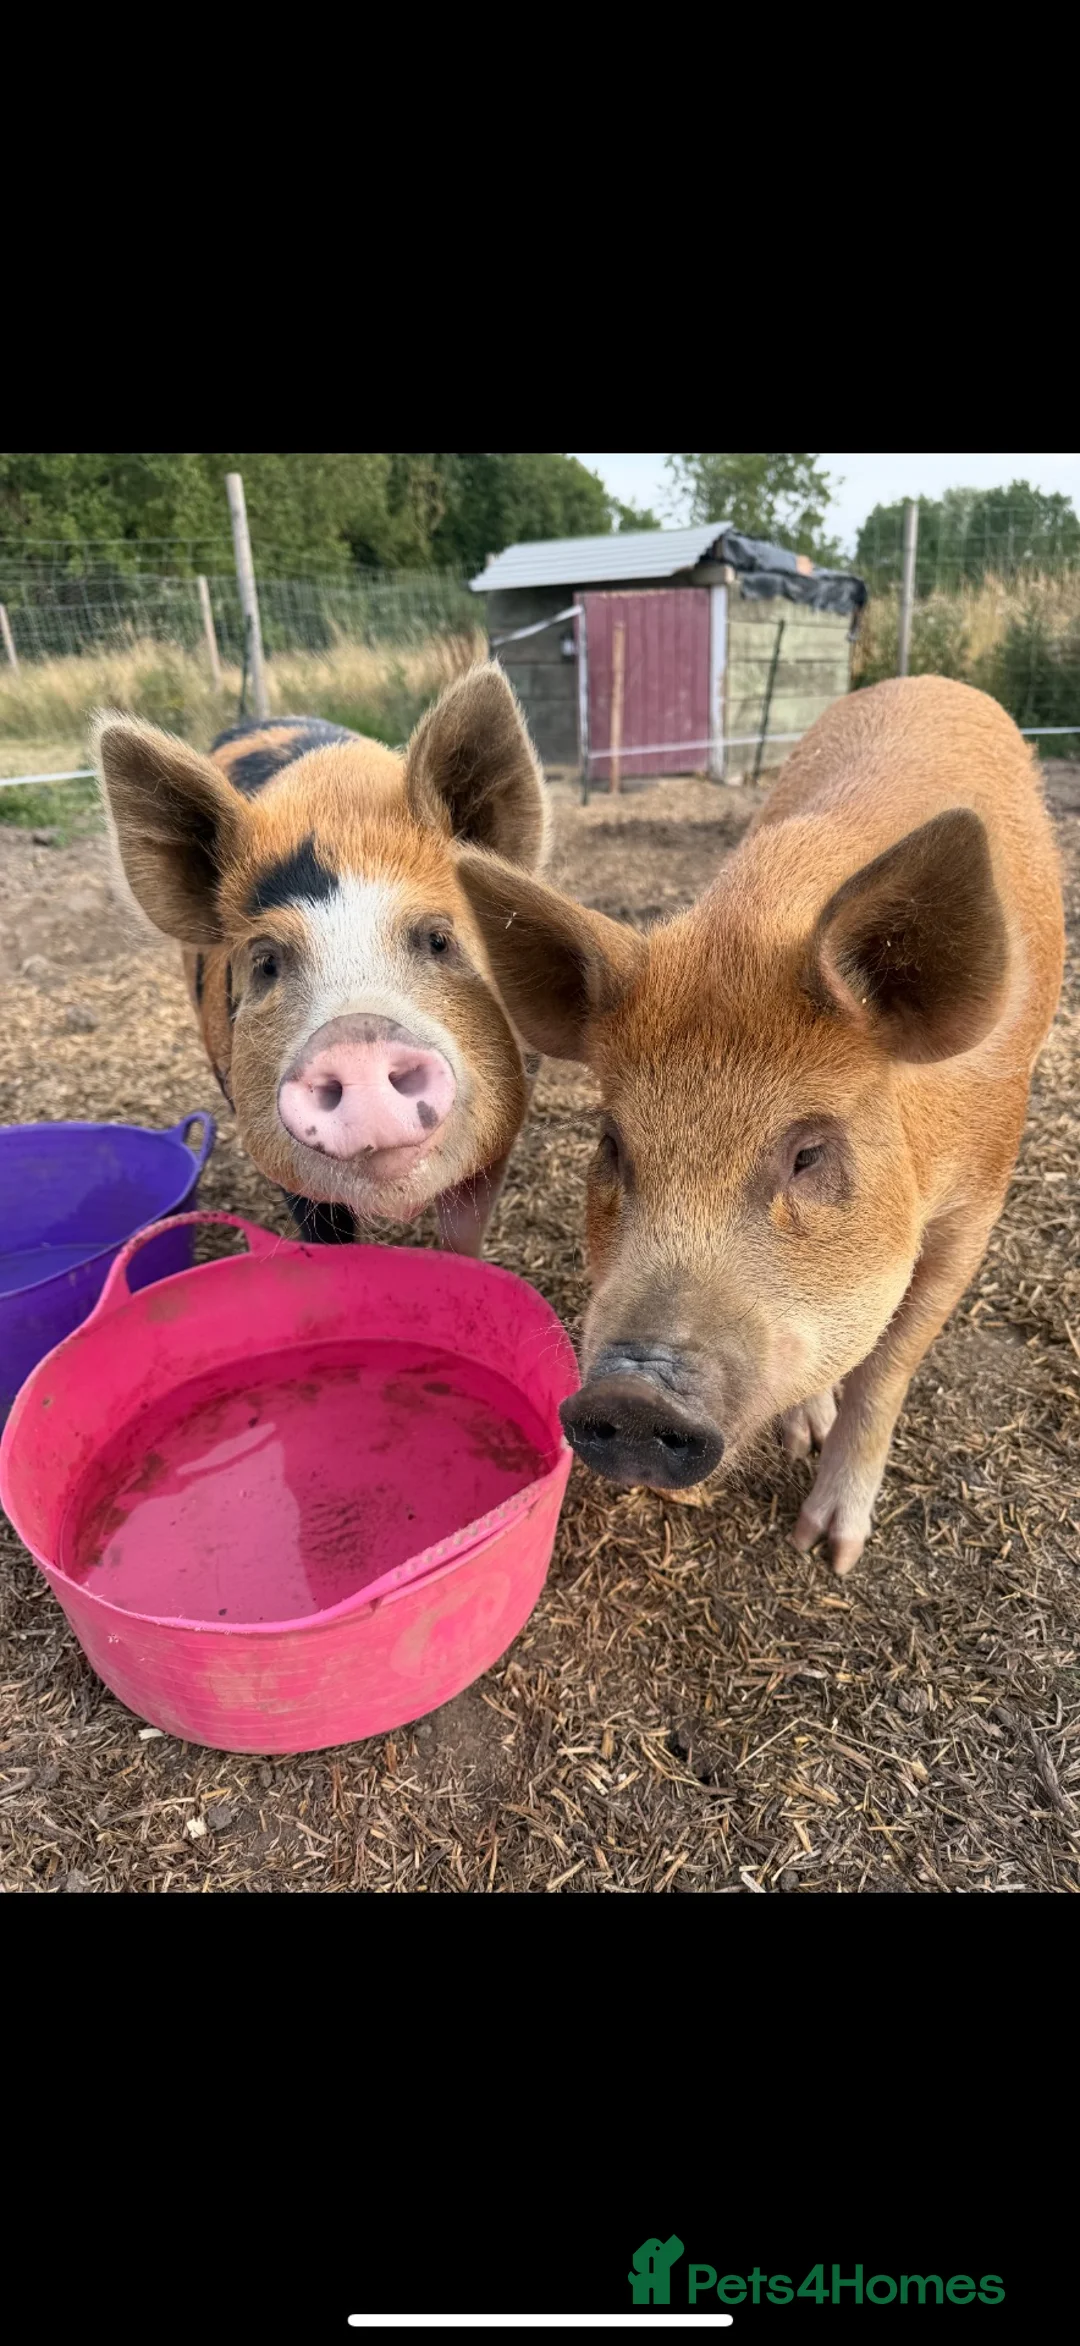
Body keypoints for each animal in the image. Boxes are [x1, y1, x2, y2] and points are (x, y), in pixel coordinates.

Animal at [457, 676, 1064, 1574]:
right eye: (613, 1145)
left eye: (809, 1153)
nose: (633, 1393)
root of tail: (930, 681)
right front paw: (805, 1449)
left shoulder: (979, 1199)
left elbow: (889, 1363)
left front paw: (828, 1551)